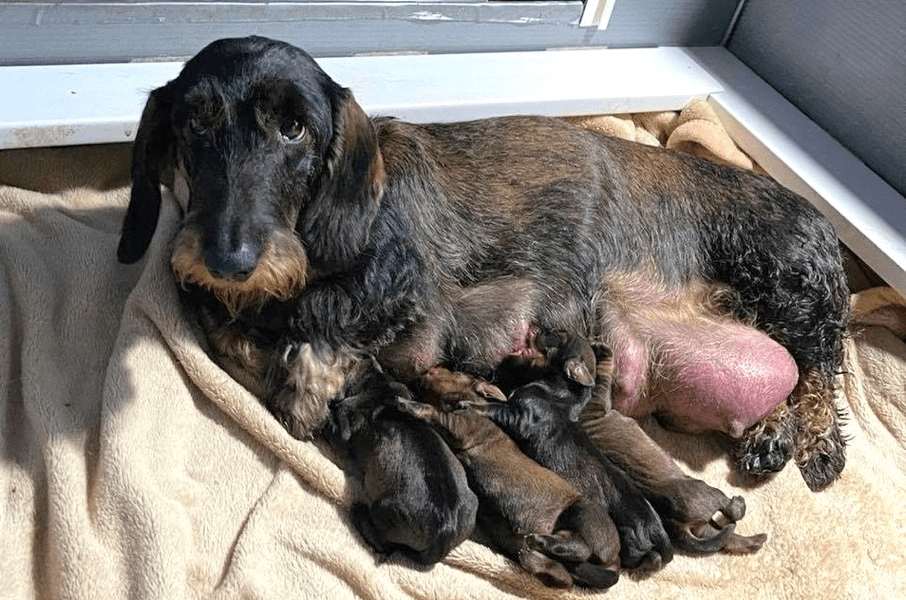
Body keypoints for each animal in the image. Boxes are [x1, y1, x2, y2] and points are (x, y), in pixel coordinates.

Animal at [118, 35, 848, 490]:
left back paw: (814, 442)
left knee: (819, 367)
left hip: (788, 284)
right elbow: (229, 330)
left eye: (295, 128)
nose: (227, 258)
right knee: (784, 373)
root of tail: (822, 222)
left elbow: (317, 318)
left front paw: (305, 383)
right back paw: (769, 433)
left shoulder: (399, 280)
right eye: (195, 123)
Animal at [318, 358, 476, 564]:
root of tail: (444, 532)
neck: (380, 384)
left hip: (382, 508)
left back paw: (359, 512)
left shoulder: (344, 426)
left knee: (384, 545)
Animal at [398, 368, 620, 588]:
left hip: (582, 512)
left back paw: (540, 542)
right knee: (564, 576)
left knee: (582, 548)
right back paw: (534, 559)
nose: (428, 370)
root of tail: (615, 559)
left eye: (455, 373)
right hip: (550, 551)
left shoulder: (464, 425)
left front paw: (407, 403)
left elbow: (435, 413)